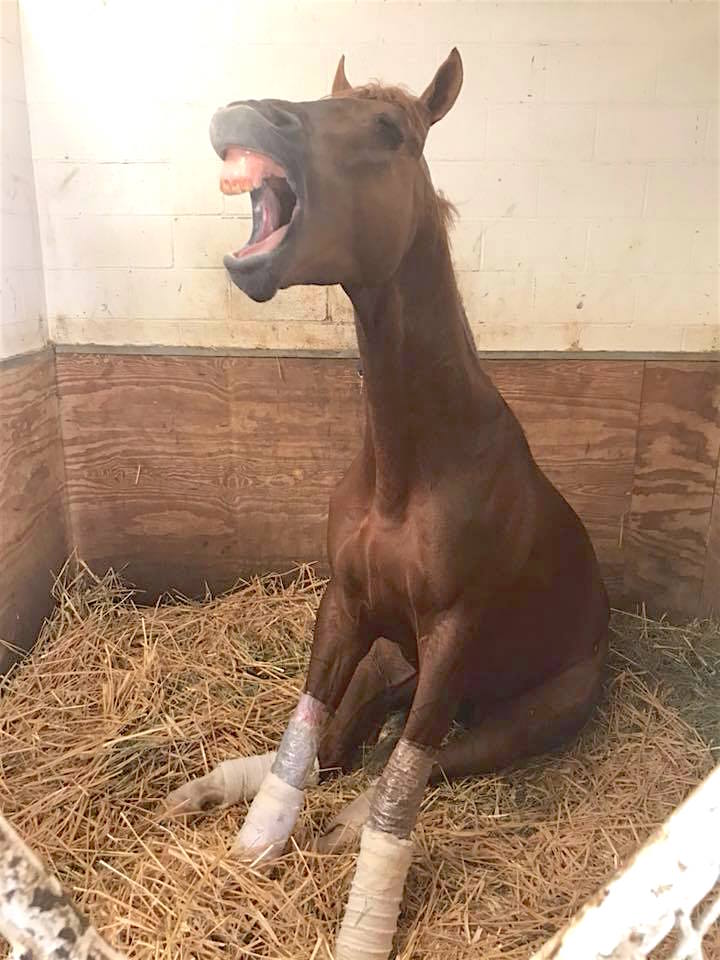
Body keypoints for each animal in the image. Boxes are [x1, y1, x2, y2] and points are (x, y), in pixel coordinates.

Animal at [167, 50, 608, 960]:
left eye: (389, 131)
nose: (248, 115)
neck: (409, 465)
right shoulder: (345, 606)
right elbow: (304, 738)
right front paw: (256, 839)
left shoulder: (451, 635)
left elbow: (404, 776)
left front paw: (363, 917)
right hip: (383, 657)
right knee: (343, 745)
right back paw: (215, 789)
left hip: (533, 709)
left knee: (431, 756)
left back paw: (340, 826)